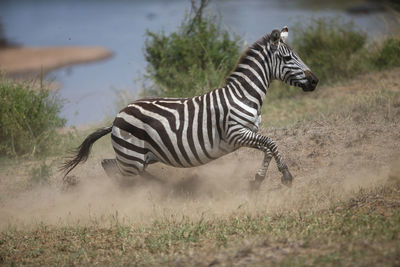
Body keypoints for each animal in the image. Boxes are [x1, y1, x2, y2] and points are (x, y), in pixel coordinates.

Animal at [61, 27, 318, 191]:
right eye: (288, 58)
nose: (315, 81)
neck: (243, 94)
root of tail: (116, 117)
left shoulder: (249, 134)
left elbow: (267, 149)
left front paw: (257, 181)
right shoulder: (236, 133)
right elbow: (272, 143)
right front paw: (287, 176)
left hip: (142, 156)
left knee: (110, 165)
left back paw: (161, 187)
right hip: (132, 156)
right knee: (121, 174)